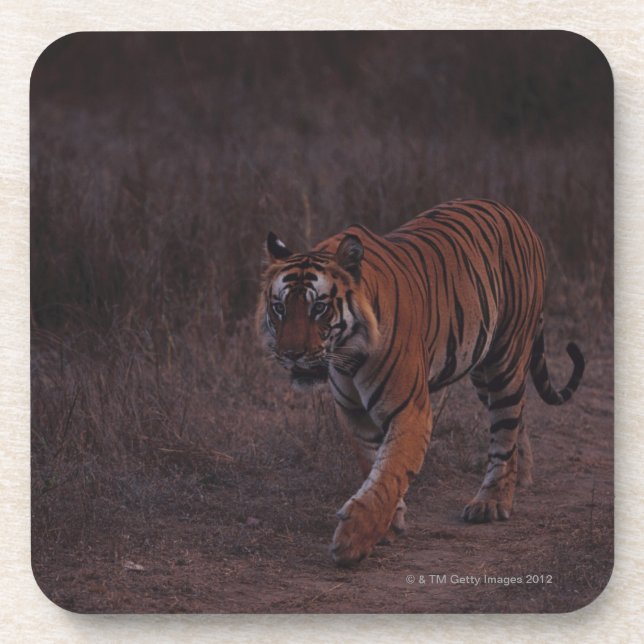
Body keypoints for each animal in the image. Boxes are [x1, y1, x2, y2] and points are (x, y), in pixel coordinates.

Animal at [256, 198, 584, 567]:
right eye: (280, 307)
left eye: (319, 308)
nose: (291, 354)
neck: (346, 356)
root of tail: (516, 215)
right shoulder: (356, 417)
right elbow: (374, 466)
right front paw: (388, 524)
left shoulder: (410, 412)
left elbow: (390, 471)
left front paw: (354, 539)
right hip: (480, 367)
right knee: (516, 421)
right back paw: (522, 476)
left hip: (506, 356)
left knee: (504, 431)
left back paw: (492, 501)